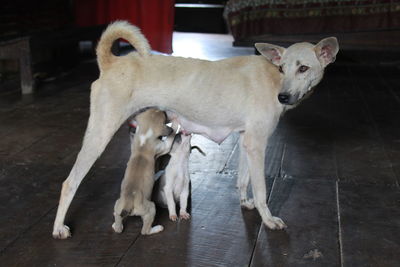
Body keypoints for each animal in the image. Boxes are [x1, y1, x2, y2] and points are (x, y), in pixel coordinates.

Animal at [50, 20, 338, 239]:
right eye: (281, 68)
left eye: (303, 68)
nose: (283, 97)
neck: (272, 79)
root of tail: (111, 62)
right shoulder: (257, 144)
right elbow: (261, 190)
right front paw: (268, 220)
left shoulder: (246, 141)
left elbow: (243, 179)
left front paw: (246, 203)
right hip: (100, 132)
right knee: (69, 183)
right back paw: (59, 228)